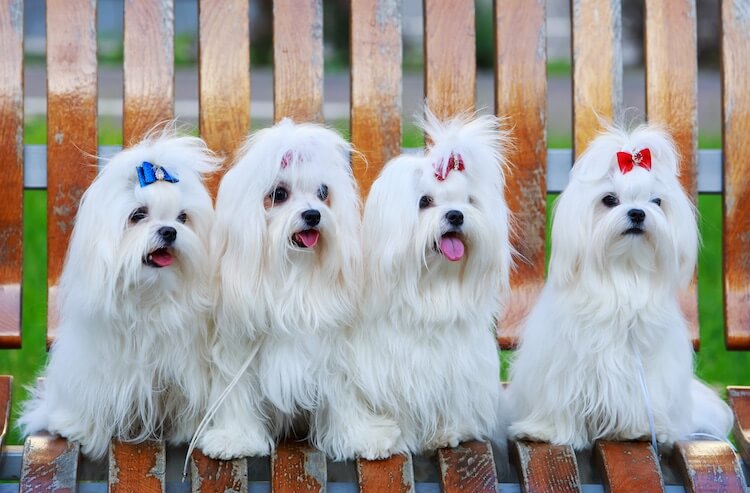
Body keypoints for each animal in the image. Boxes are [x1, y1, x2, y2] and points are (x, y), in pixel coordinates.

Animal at [20, 127, 219, 458]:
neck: (147, 296)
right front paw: (79, 428)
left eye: (182, 218)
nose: (169, 231)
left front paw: (188, 429)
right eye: (138, 214)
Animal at [198, 118, 362, 458]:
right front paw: (236, 438)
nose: (313, 214)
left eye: (323, 192)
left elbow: (341, 391)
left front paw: (358, 436)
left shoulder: (331, 351)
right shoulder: (238, 348)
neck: (293, 274)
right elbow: (238, 391)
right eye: (279, 194)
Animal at [512, 125, 736, 448]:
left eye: (656, 201)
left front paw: (639, 428)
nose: (637, 213)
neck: (623, 273)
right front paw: (548, 430)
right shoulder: (563, 364)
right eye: (609, 199)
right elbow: (561, 396)